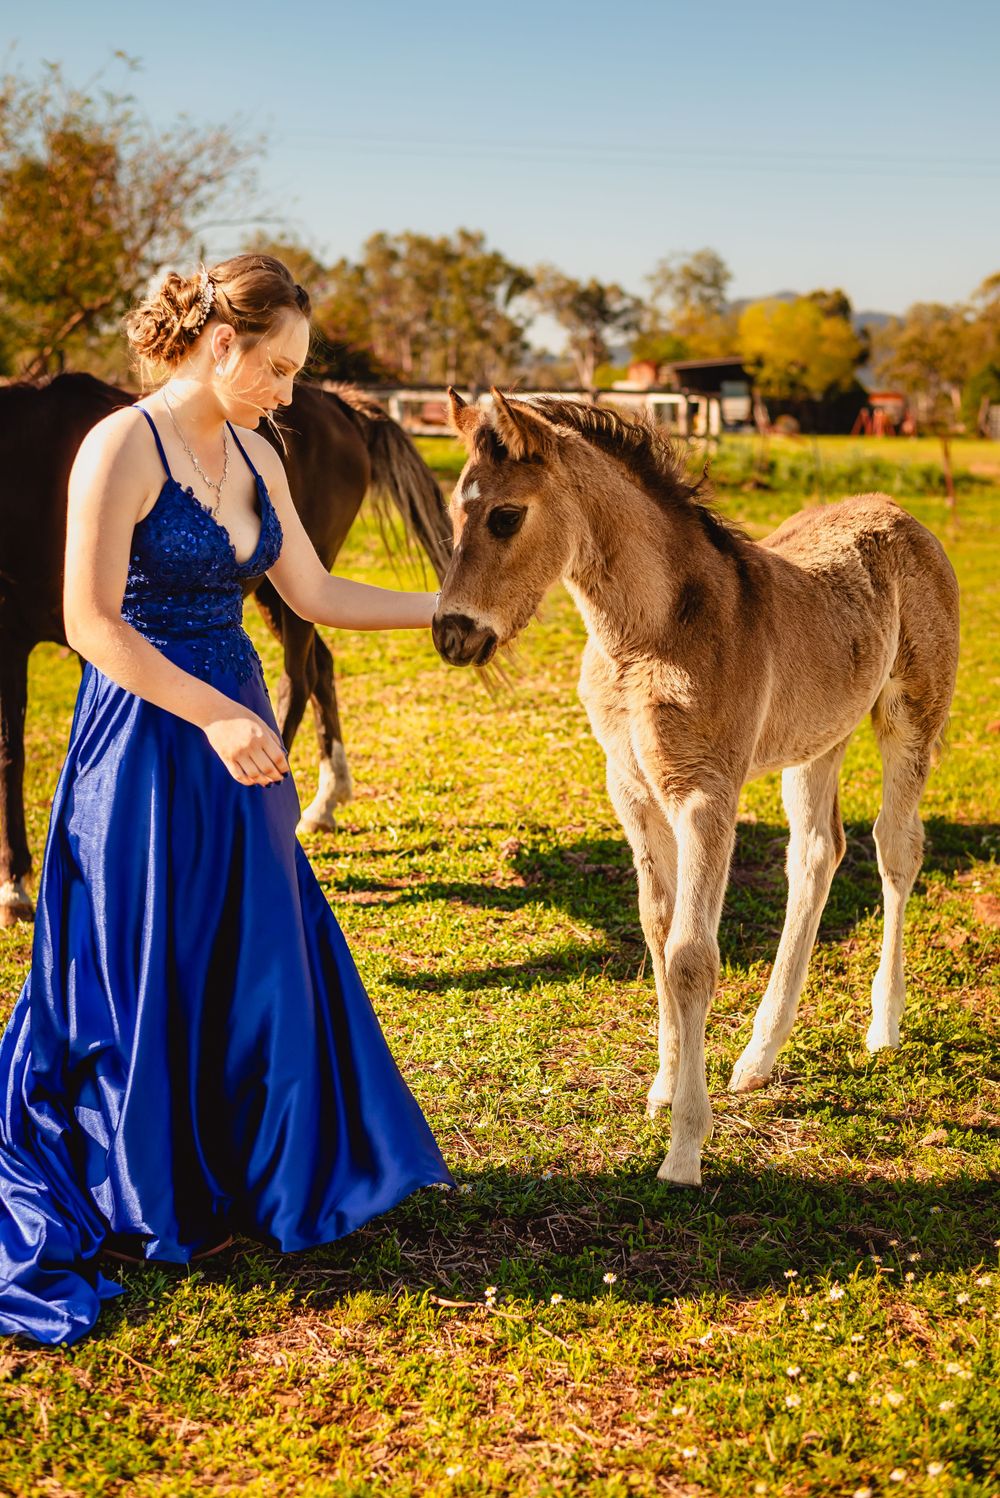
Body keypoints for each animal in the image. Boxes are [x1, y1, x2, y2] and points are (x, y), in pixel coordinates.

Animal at [432, 388, 959, 1187]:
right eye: (450, 511)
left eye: (505, 516)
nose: (451, 634)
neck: (647, 634)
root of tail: (900, 514)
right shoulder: (633, 791)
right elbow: (656, 930)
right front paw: (662, 1086)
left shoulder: (706, 795)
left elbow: (690, 956)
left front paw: (684, 1149)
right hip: (818, 739)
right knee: (816, 854)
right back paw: (759, 1056)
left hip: (910, 720)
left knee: (896, 853)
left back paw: (882, 1025)